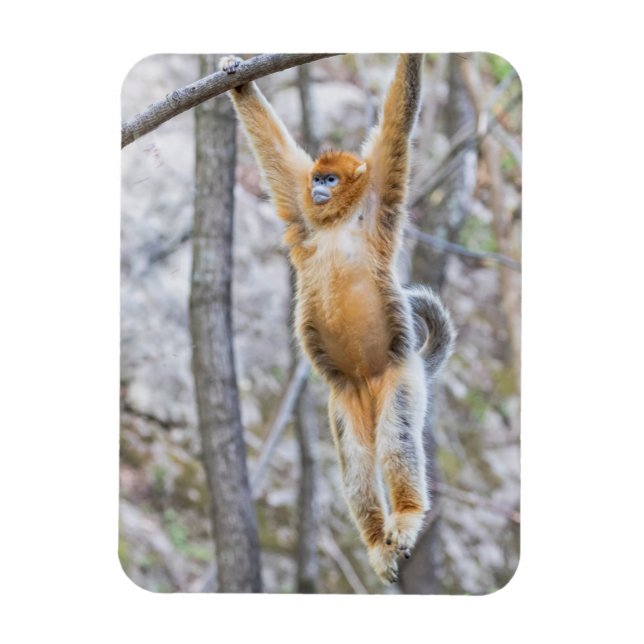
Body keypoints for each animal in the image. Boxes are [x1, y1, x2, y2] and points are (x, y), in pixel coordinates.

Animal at [219, 54, 455, 583]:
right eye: (317, 178)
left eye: (332, 178)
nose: (319, 187)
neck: (336, 220)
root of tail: (367, 380)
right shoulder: (301, 209)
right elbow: (276, 154)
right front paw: (238, 78)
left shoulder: (383, 183)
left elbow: (398, 120)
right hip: (345, 397)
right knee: (356, 464)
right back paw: (376, 544)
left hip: (400, 376)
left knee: (396, 439)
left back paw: (406, 517)